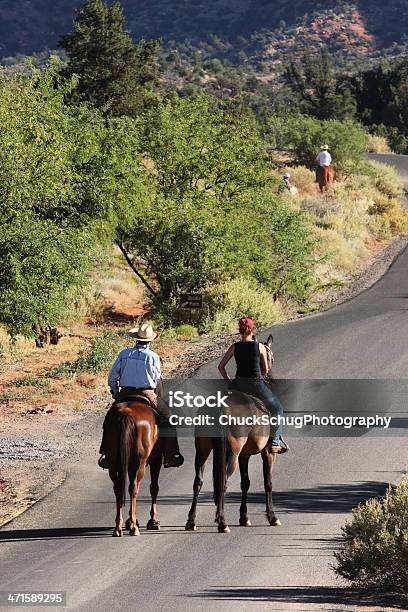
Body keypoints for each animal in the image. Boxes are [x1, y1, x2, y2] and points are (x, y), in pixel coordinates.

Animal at [103, 396, 163, 536]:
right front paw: (153, 521)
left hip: (113, 462)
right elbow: (154, 488)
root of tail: (126, 414)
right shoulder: (156, 460)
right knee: (134, 488)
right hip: (139, 463)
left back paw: (118, 528)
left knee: (118, 488)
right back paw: (133, 528)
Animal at [186, 338, 282, 532]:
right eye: (271, 356)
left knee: (198, 482)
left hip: (203, 449)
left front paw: (244, 517)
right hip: (231, 453)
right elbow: (268, 483)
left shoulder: (245, 455)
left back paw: (191, 521)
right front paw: (272, 517)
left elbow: (245, 483)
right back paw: (222, 522)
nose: (272, 377)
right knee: (223, 481)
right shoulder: (268, 453)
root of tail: (218, 405)